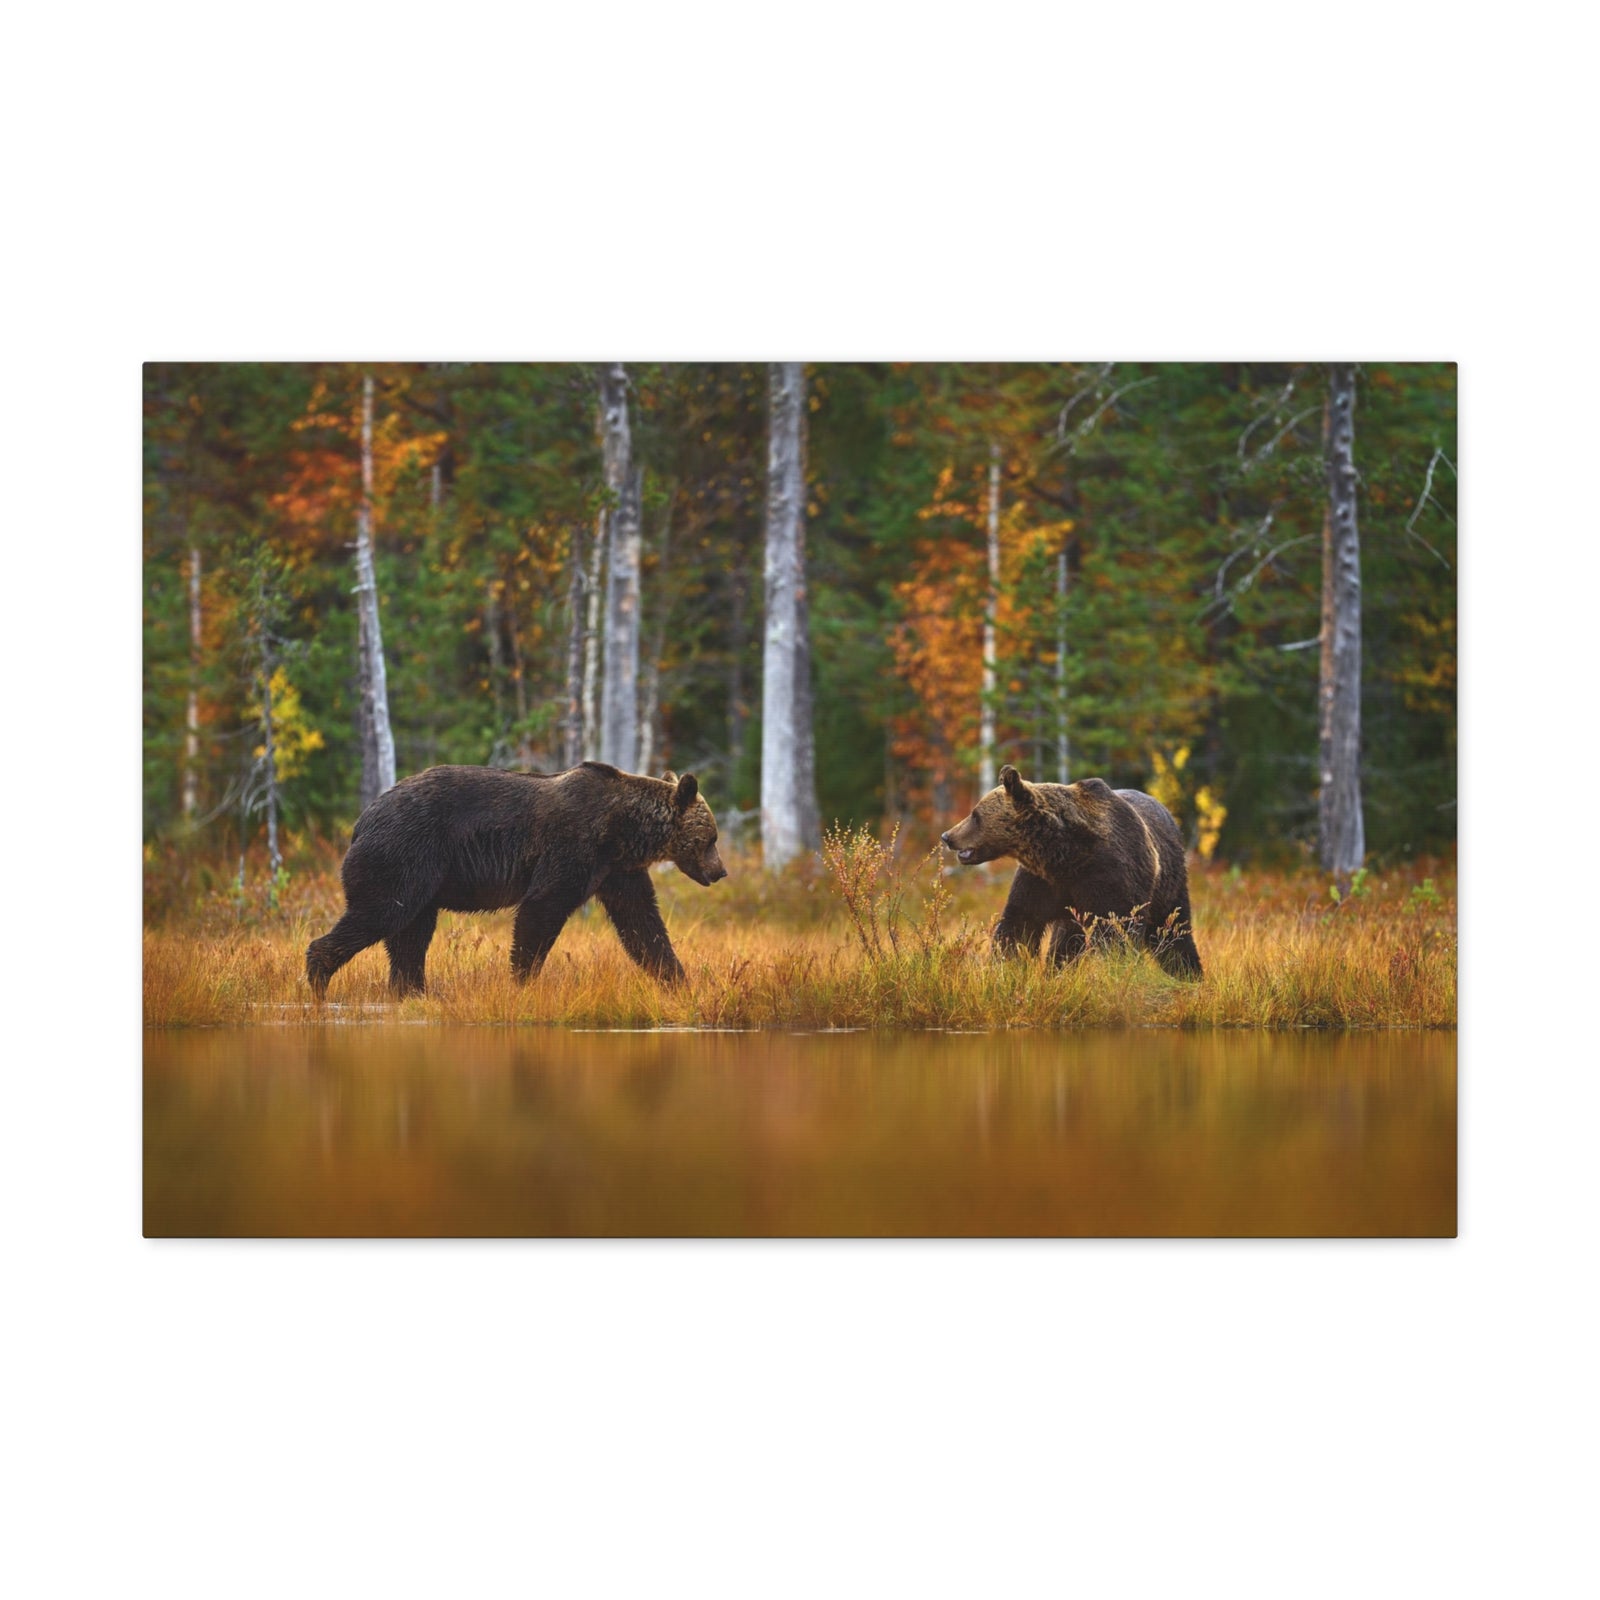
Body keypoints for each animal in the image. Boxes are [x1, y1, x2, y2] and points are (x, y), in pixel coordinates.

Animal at [305, 762, 726, 999]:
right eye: (712, 838)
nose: (720, 871)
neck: (623, 830)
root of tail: (362, 819)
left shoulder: (616, 870)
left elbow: (641, 923)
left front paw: (678, 981)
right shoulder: (573, 847)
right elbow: (541, 909)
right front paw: (522, 981)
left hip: (422, 877)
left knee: (411, 934)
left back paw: (413, 991)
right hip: (405, 853)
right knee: (381, 913)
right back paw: (319, 978)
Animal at [940, 765, 1203, 979]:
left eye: (975, 814)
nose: (947, 836)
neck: (1064, 856)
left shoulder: (1110, 876)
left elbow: (1116, 931)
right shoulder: (1042, 881)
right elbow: (1020, 922)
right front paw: (1006, 965)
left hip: (1169, 882)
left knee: (1173, 929)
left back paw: (1189, 973)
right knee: (1066, 940)